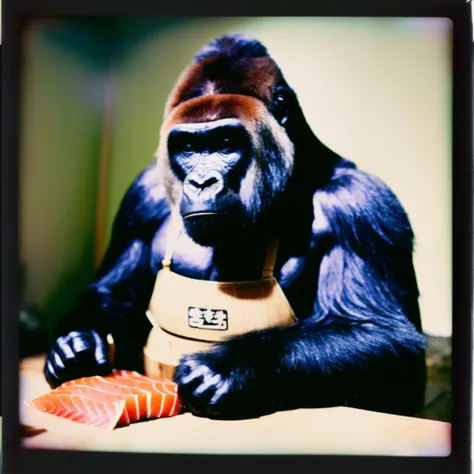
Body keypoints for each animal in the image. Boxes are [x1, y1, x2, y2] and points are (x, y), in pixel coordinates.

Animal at [44, 33, 428, 418]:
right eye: (188, 147)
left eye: (226, 143)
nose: (201, 183)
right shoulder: (140, 197)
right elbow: (113, 291)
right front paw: (77, 343)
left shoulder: (361, 206)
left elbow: (382, 334)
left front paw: (228, 368)